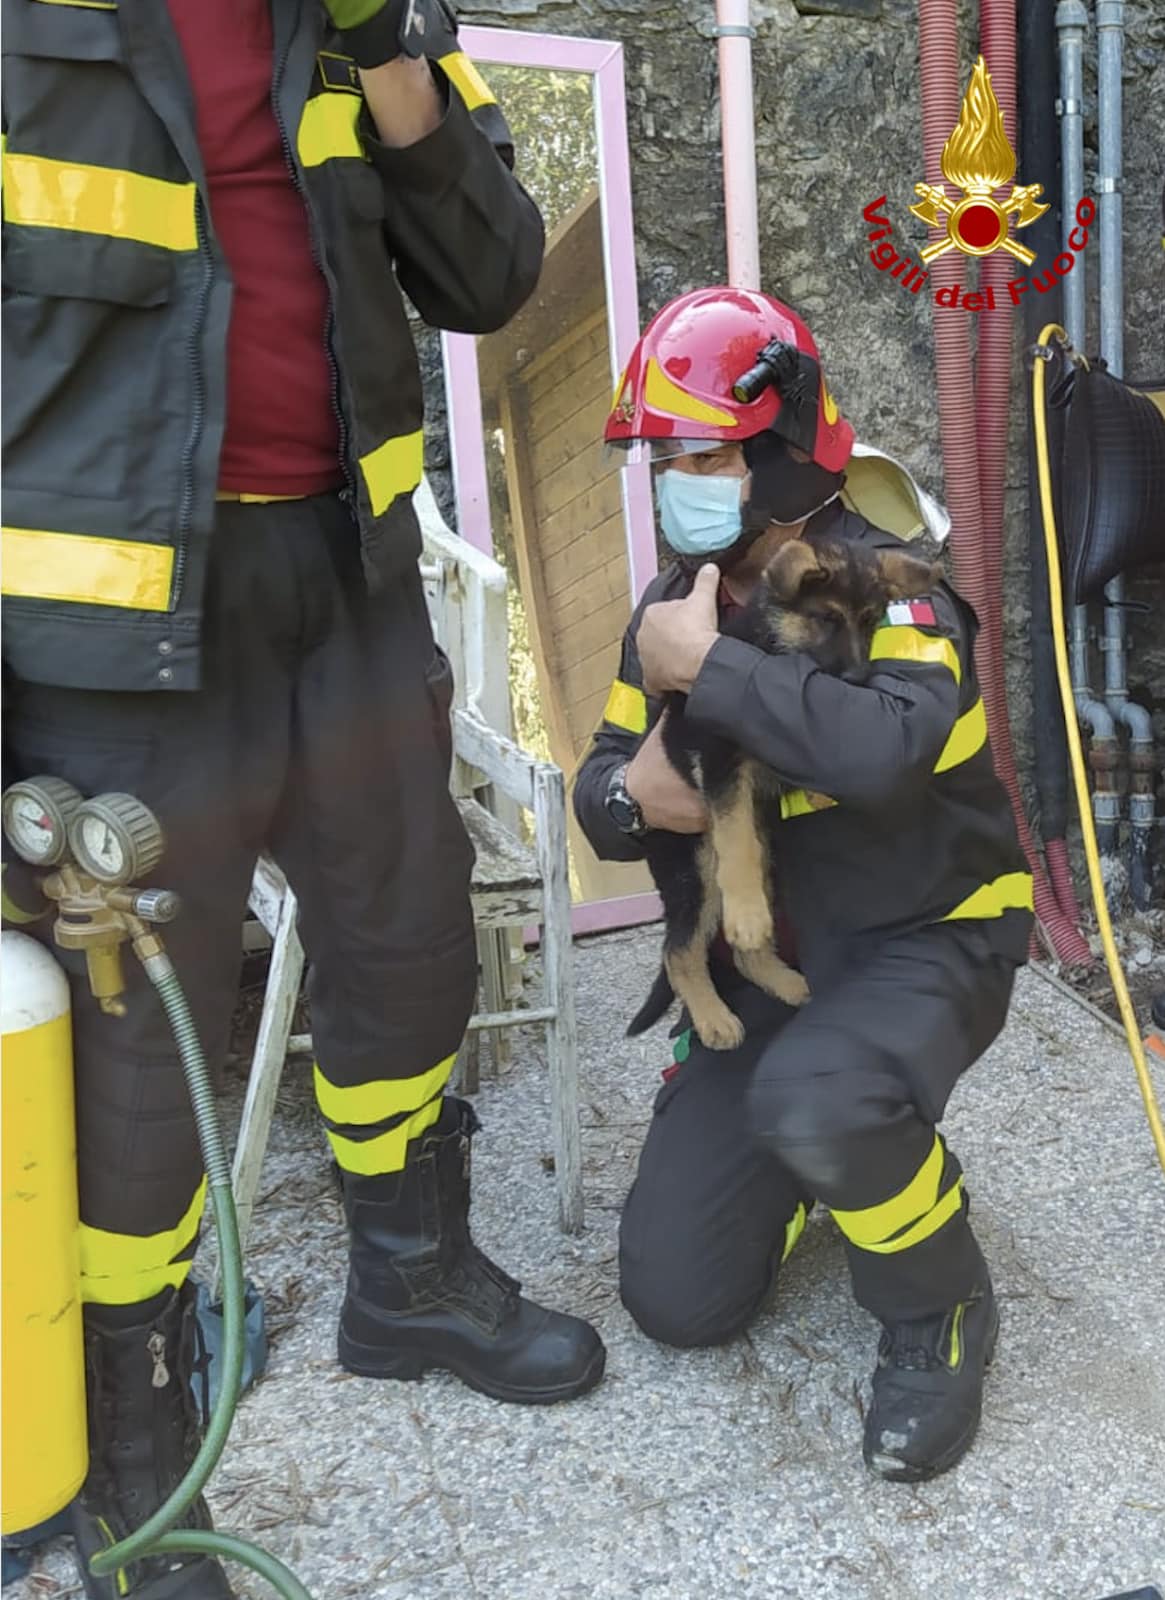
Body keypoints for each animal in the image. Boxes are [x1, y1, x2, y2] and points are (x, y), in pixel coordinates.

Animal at [627, 540, 947, 1049]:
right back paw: (713, 1017)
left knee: (741, 952)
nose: (859, 679)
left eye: (871, 621)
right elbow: (735, 835)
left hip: (769, 857)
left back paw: (787, 983)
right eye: (827, 618)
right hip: (696, 869)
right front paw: (746, 914)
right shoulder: (718, 759)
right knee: (679, 950)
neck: (769, 646)